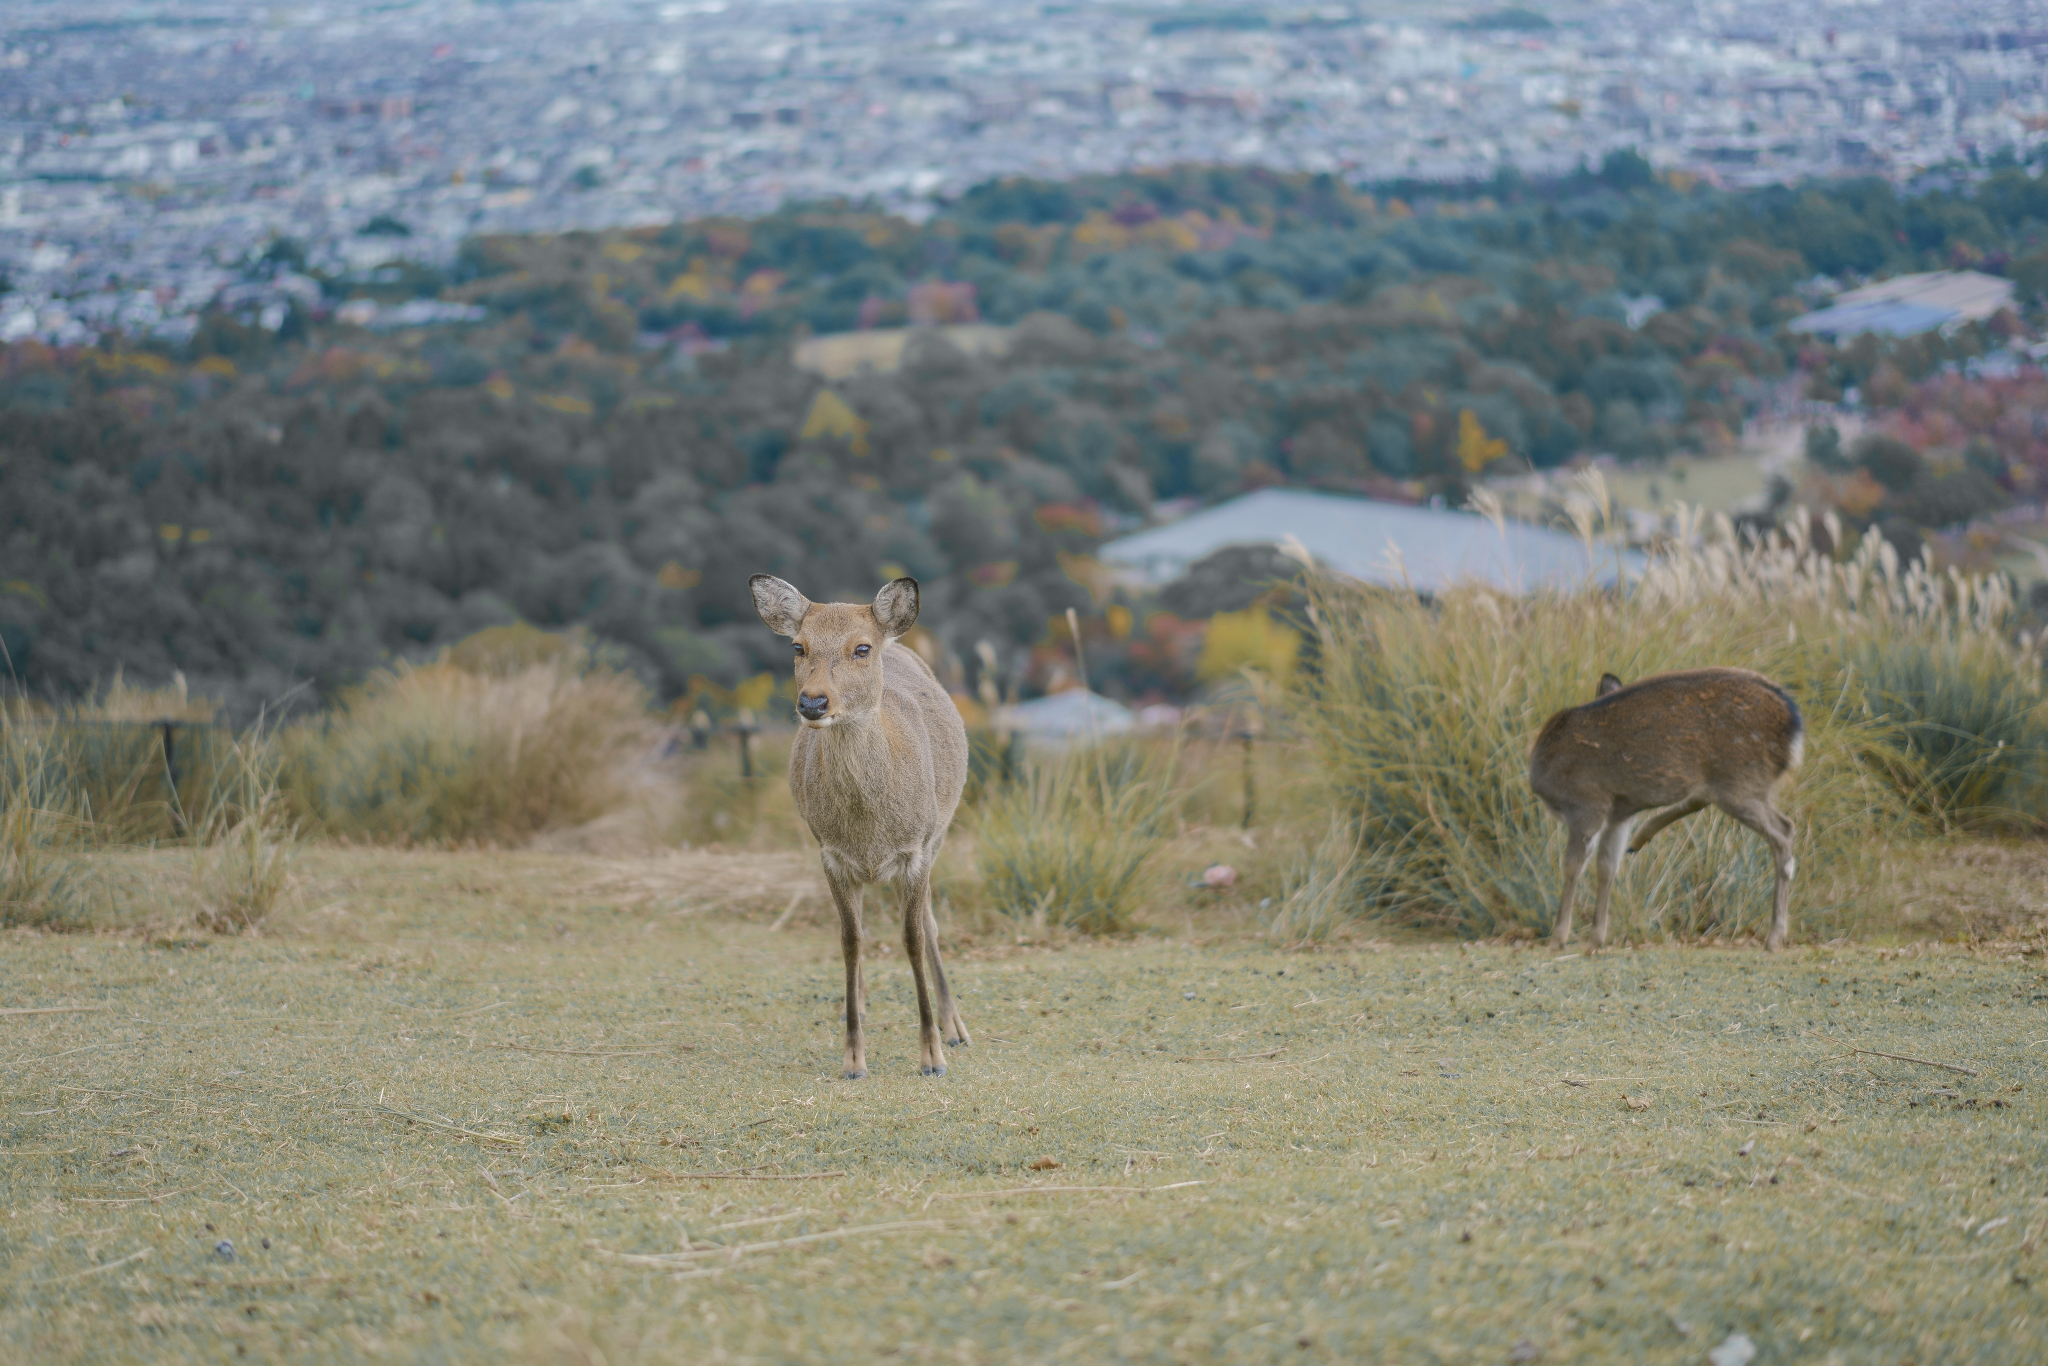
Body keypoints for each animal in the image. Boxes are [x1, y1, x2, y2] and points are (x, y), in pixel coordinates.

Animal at [753, 573, 974, 1081]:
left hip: (939, 836)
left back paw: (956, 1027)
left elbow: (913, 939)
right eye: (798, 646)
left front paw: (931, 1056)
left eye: (861, 648)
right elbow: (850, 941)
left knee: (930, 923)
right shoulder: (831, 854)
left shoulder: (915, 850)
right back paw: (858, 1003)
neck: (868, 829)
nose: (813, 702)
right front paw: (854, 1058)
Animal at [1531, 671, 1802, 950]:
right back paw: (1640, 839)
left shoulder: (1586, 804)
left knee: (1784, 830)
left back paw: (1774, 937)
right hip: (1734, 785)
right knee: (1706, 802)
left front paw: (1558, 938)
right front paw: (1596, 938)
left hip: (1741, 782)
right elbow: (1607, 866)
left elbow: (1572, 866)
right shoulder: (1618, 814)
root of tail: (1794, 727)